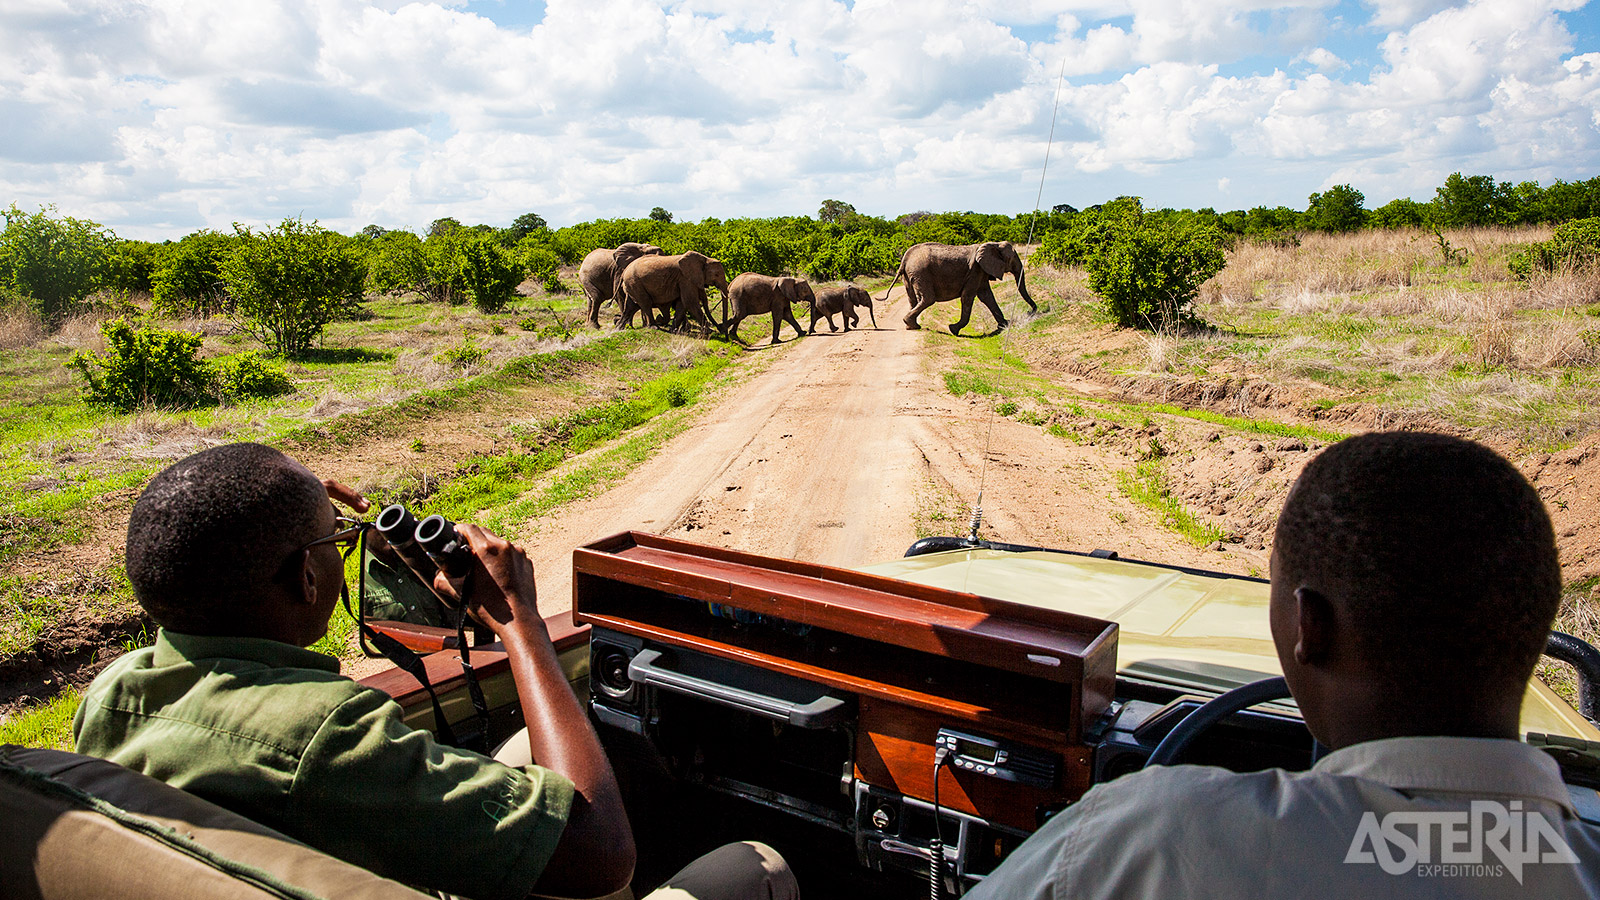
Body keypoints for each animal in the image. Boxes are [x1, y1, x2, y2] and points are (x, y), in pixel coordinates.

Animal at [876, 238, 1036, 333]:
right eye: (1012, 258)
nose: (1031, 311)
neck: (992, 244)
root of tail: (905, 258)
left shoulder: (981, 272)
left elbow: (987, 296)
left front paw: (1005, 325)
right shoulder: (975, 271)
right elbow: (968, 297)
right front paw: (953, 329)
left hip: (909, 275)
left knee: (913, 299)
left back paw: (911, 326)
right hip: (921, 272)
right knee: (928, 299)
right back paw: (913, 325)